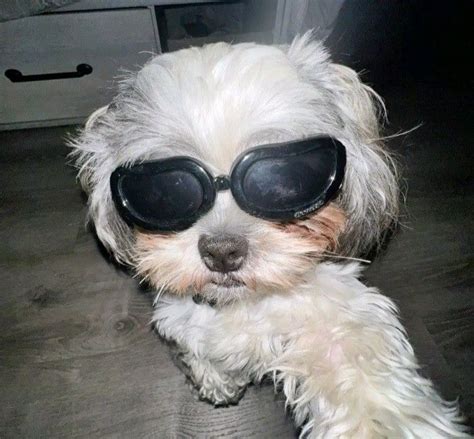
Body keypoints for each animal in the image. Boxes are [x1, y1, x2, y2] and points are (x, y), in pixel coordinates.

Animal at [71, 33, 470, 436]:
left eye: (282, 180)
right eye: (166, 192)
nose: (222, 252)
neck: (246, 303)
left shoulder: (336, 316)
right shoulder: (185, 318)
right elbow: (201, 347)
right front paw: (217, 379)